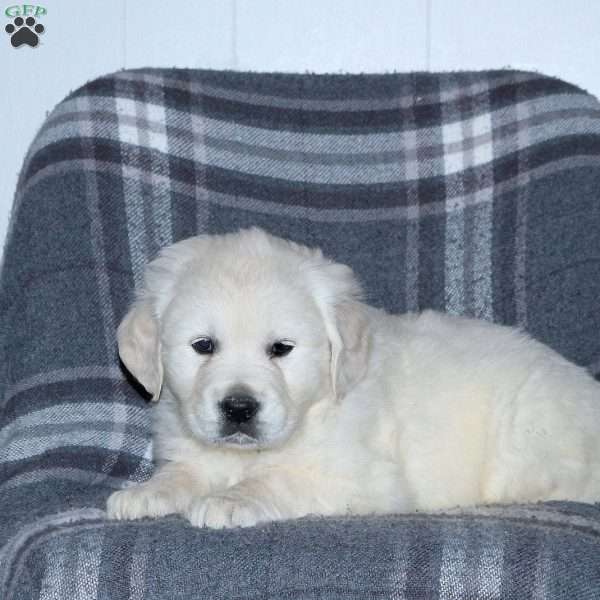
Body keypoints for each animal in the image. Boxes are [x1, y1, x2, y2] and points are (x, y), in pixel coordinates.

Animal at [105, 227, 600, 528]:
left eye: (281, 349)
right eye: (203, 346)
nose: (239, 408)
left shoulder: (362, 478)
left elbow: (280, 478)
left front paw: (230, 500)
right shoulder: (192, 451)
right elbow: (183, 472)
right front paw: (147, 492)